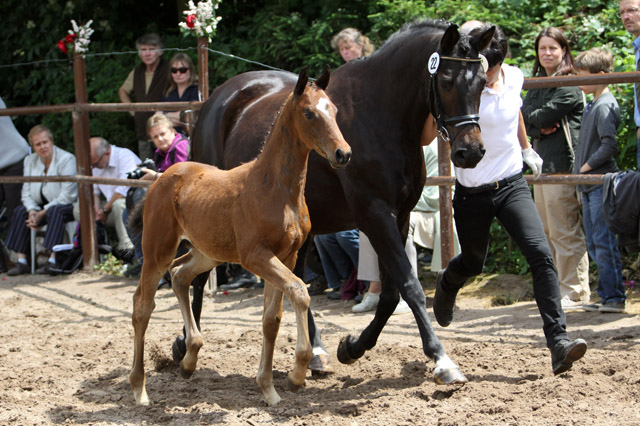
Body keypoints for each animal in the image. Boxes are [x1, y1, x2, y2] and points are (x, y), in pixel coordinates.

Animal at [128, 67, 352, 406]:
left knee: (180, 274)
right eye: (309, 113)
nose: (343, 153)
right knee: (143, 304)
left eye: (335, 111)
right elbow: (299, 291)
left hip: (208, 251)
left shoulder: (286, 256)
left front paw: (269, 389)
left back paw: (189, 358)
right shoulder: (255, 256)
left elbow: (271, 320)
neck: (276, 188)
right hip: (157, 250)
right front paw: (298, 373)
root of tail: (162, 177)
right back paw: (140, 390)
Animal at [190, 20, 496, 386]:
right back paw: (184, 347)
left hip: (300, 230)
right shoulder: (375, 215)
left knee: (294, 282)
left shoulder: (399, 217)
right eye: (447, 80)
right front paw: (441, 359)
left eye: (482, 82)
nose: (470, 152)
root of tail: (216, 100)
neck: (381, 114)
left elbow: (390, 294)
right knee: (195, 275)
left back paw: (317, 354)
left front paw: (351, 348)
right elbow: (410, 286)